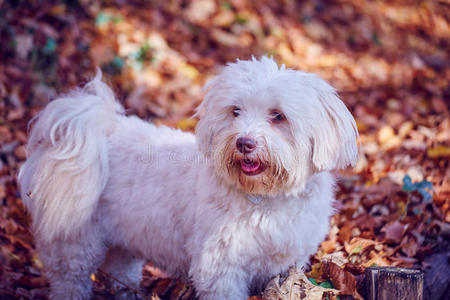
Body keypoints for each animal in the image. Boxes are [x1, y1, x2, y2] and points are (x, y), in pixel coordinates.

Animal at [19, 56, 358, 300]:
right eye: (235, 111)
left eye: (278, 116)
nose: (244, 142)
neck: (264, 199)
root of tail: (99, 128)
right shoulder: (220, 269)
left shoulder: (285, 265)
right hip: (73, 243)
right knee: (70, 279)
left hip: (126, 238)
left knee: (120, 271)